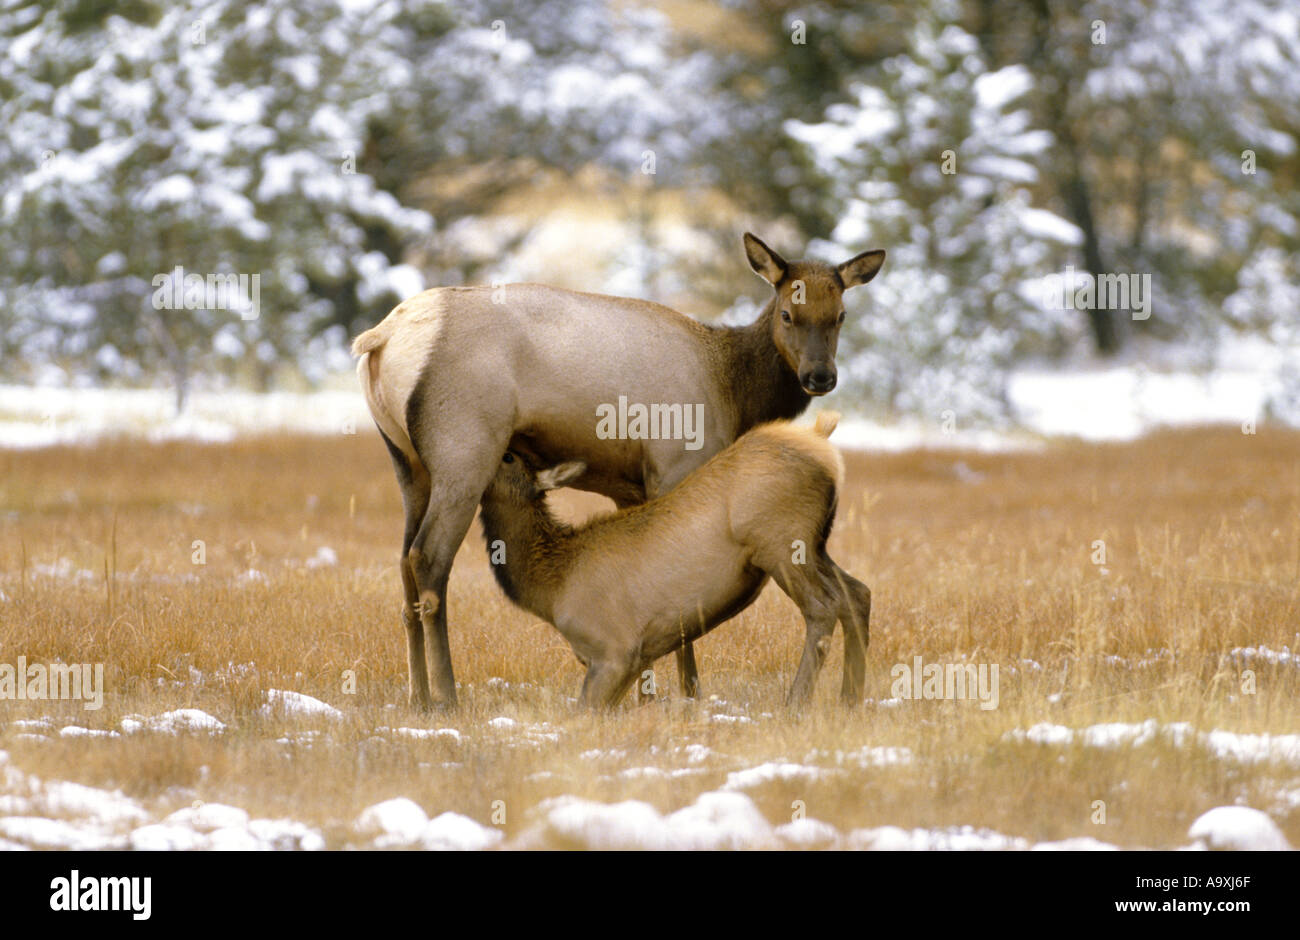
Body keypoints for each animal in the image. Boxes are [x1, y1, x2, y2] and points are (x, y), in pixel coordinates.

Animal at [356, 231, 883, 707]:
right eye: (788, 313)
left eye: (840, 315)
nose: (820, 376)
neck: (734, 391)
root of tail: (381, 338)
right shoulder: (676, 460)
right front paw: (687, 693)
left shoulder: (628, 486)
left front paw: (645, 694)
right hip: (464, 450)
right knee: (428, 559)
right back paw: (447, 696)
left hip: (409, 464)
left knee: (403, 562)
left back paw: (418, 696)